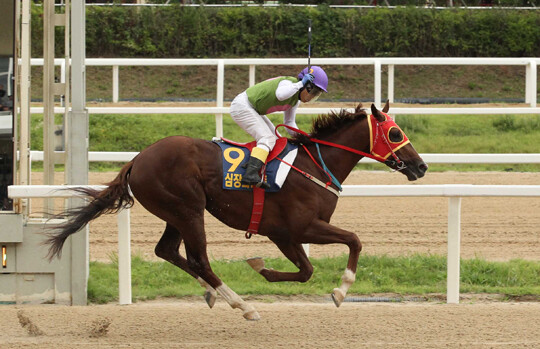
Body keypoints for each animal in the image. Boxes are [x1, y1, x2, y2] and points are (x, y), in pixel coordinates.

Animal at [45, 100, 426, 318]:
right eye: (395, 133)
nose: (420, 167)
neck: (314, 165)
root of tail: (137, 160)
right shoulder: (298, 228)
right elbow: (353, 240)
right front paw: (341, 290)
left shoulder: (284, 235)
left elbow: (306, 270)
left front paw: (263, 268)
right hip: (188, 209)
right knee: (198, 258)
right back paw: (242, 305)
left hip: (175, 212)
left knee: (167, 250)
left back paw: (213, 293)